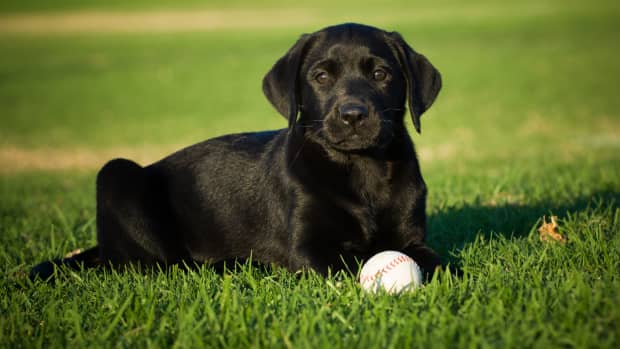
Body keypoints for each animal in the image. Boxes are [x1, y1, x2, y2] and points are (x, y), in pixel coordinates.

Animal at [31, 22, 444, 280]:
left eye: (381, 74)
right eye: (322, 76)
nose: (354, 114)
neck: (360, 169)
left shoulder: (413, 240)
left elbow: (440, 263)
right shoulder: (308, 248)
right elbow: (344, 264)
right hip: (117, 174)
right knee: (163, 265)